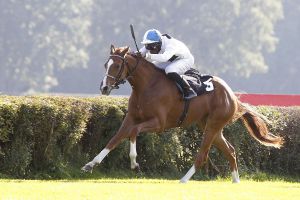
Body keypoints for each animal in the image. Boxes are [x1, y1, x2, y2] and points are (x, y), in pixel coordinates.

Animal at [82, 45, 284, 183]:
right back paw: (236, 181)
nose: (104, 88)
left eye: (116, 65)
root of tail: (232, 95)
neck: (147, 85)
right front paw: (90, 164)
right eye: (106, 64)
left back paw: (184, 179)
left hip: (212, 126)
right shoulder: (131, 118)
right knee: (230, 150)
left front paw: (134, 164)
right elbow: (115, 138)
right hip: (210, 126)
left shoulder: (159, 123)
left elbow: (133, 132)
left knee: (203, 155)